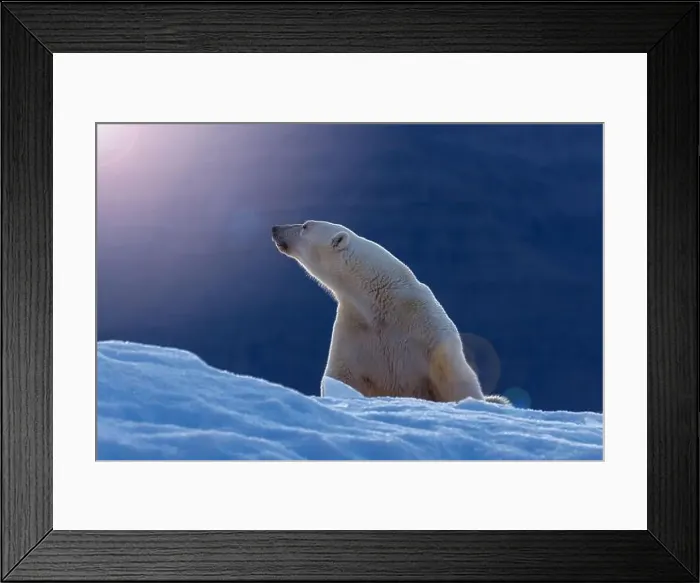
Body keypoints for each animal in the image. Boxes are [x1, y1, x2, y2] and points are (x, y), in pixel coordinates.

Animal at [271, 220, 511, 406]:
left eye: (305, 226)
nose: (275, 228)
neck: (380, 300)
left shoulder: (426, 328)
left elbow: (454, 375)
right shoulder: (355, 329)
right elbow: (341, 374)